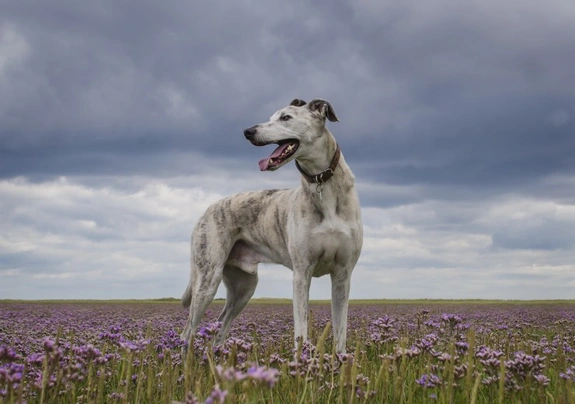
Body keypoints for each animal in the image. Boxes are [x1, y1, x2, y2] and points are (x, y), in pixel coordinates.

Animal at [182, 98, 364, 354]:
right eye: (271, 117)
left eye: (286, 117)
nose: (248, 131)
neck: (321, 184)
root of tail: (206, 210)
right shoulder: (302, 273)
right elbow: (301, 330)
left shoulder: (343, 275)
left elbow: (341, 334)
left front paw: (340, 361)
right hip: (207, 279)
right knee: (187, 331)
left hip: (243, 287)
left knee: (219, 327)